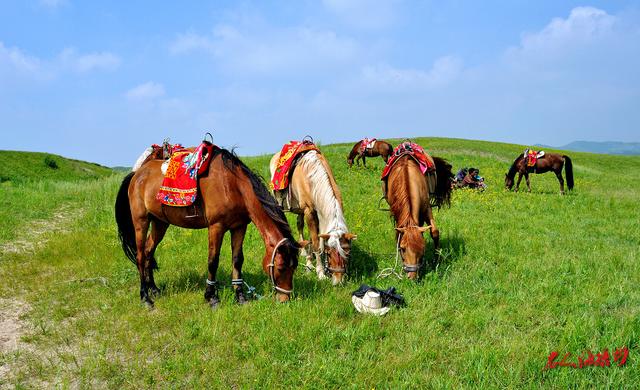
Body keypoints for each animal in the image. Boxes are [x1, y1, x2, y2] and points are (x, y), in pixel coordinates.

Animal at [115, 145, 300, 308]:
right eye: (281, 267)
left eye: (295, 267)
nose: (285, 299)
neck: (233, 185)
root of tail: (136, 174)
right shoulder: (216, 227)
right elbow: (213, 261)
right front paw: (212, 297)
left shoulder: (239, 227)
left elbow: (237, 260)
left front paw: (240, 296)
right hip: (141, 221)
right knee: (140, 256)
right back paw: (145, 298)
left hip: (160, 223)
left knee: (148, 252)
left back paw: (153, 289)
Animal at [268, 149, 358, 284]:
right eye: (329, 253)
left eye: (347, 253)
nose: (338, 280)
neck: (311, 178)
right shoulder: (309, 212)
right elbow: (316, 243)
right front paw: (320, 272)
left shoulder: (317, 214)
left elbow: (314, 239)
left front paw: (310, 264)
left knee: (300, 225)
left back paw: (304, 252)